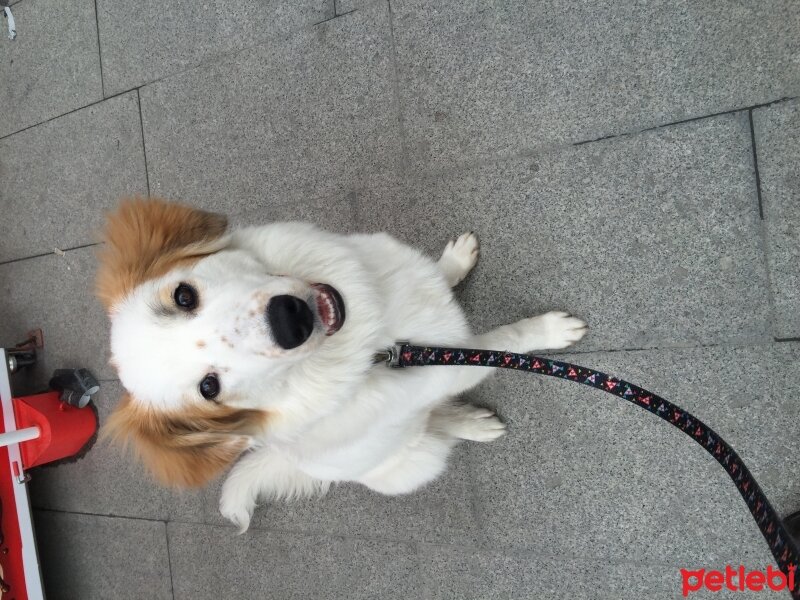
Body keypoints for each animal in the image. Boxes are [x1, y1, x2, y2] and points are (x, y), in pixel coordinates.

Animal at [98, 199, 588, 532]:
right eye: (209, 388)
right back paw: (470, 423)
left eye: (184, 296)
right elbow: (502, 344)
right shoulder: (457, 364)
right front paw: (550, 331)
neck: (377, 343)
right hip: (416, 460)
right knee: (432, 428)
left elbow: (435, 276)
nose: (289, 319)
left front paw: (453, 262)